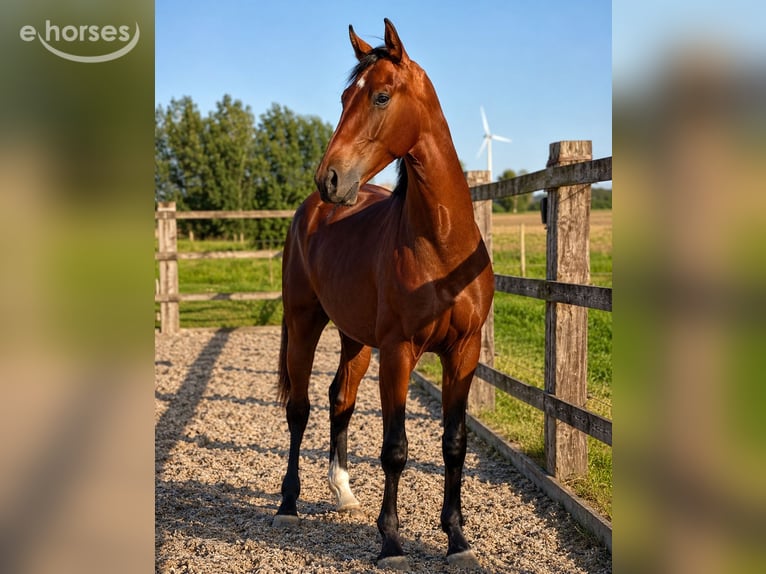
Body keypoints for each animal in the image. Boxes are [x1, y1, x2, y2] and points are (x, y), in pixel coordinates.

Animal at [273, 19, 494, 570]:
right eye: (343, 97)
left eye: (380, 95)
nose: (330, 178)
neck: (439, 243)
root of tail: (309, 210)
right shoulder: (399, 352)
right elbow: (396, 448)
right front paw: (391, 543)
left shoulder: (464, 352)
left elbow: (454, 443)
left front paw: (457, 539)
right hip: (305, 323)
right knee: (300, 409)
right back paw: (288, 504)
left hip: (355, 338)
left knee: (340, 399)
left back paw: (344, 492)